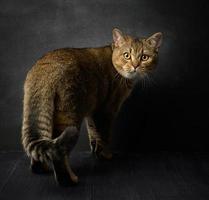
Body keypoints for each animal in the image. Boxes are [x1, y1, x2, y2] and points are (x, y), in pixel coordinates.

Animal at [21, 28, 162, 186]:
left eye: (144, 57)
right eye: (127, 55)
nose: (135, 66)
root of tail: (44, 69)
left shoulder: (92, 110)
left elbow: (94, 133)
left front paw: (96, 151)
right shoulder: (106, 110)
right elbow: (104, 135)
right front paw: (105, 155)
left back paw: (42, 168)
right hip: (69, 115)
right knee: (59, 153)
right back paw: (69, 180)